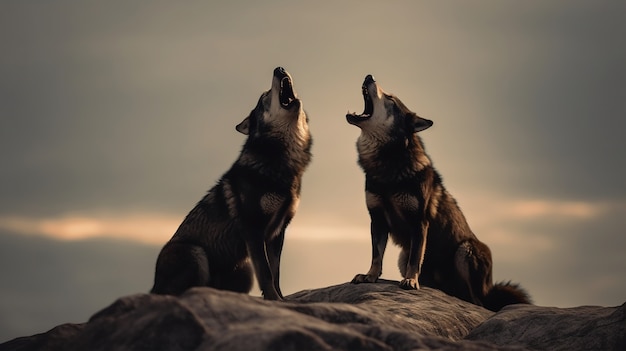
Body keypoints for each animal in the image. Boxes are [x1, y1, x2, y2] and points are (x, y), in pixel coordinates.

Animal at [152, 67, 312, 302]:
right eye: (264, 97)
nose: (279, 69)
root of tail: (153, 286)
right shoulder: (254, 230)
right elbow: (266, 273)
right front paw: (273, 299)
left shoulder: (278, 232)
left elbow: (275, 273)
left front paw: (281, 300)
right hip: (197, 253)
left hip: (244, 270)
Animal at [344, 74, 528, 310]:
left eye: (391, 99)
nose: (369, 76)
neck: (389, 164)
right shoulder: (377, 220)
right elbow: (376, 255)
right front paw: (370, 276)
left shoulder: (419, 222)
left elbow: (415, 259)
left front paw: (411, 281)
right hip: (403, 256)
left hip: (465, 250)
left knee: (477, 301)